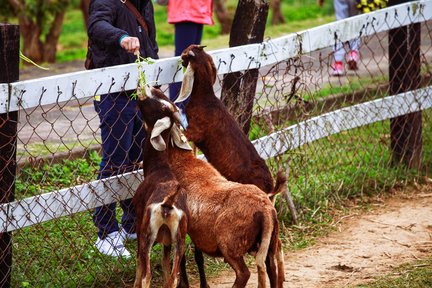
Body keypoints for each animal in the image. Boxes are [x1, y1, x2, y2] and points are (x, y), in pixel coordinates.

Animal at [133, 85, 189, 288]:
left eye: (161, 106)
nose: (148, 86)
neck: (159, 168)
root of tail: (168, 203)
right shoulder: (167, 242)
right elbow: (165, 265)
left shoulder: (138, 222)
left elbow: (138, 263)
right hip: (179, 240)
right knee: (174, 276)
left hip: (147, 235)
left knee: (146, 275)